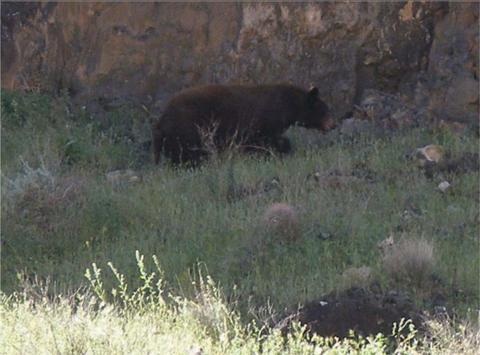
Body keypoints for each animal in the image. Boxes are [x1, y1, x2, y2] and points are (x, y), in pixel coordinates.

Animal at [152, 84, 336, 166]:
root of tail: (160, 122)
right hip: (188, 129)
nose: (333, 125)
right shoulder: (262, 122)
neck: (287, 104)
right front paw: (281, 151)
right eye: (324, 110)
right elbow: (263, 140)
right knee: (189, 154)